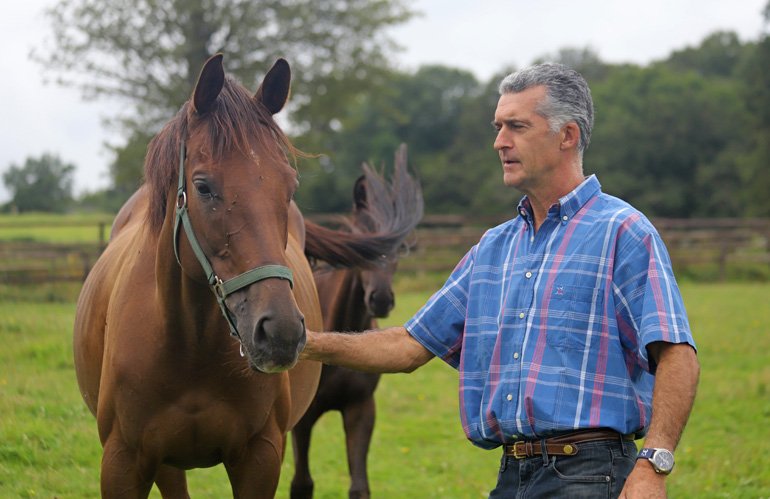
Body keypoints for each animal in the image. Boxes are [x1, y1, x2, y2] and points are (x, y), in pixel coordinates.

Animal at [74, 54, 401, 498]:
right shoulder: (123, 463)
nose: (280, 332)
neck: (187, 346)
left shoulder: (259, 457)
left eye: (290, 187)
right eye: (203, 187)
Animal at [290, 145, 423, 499]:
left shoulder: (360, 409)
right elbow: (302, 484)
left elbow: (359, 487)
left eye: (397, 247)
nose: (380, 299)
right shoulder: (302, 418)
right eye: (362, 239)